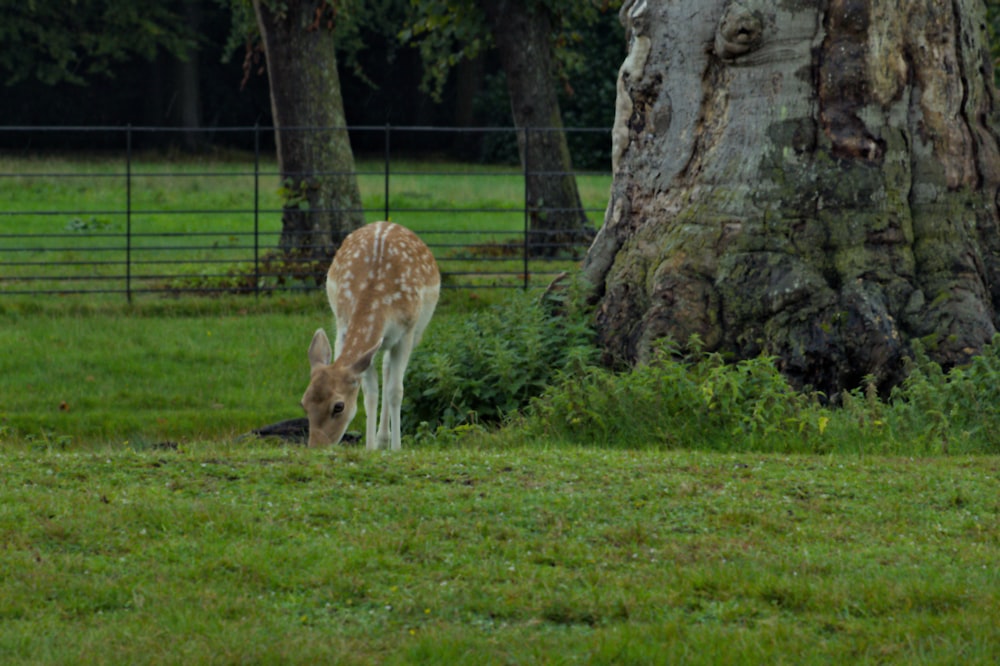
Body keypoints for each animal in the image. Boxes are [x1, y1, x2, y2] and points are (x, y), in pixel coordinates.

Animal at [302, 220, 440, 448]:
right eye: (303, 402)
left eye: (338, 406)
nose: (316, 448)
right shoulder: (344, 325)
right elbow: (369, 392)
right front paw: (370, 448)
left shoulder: (407, 332)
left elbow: (396, 391)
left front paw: (396, 448)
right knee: (383, 368)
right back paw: (380, 440)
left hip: (416, 330)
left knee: (388, 369)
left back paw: (385, 440)